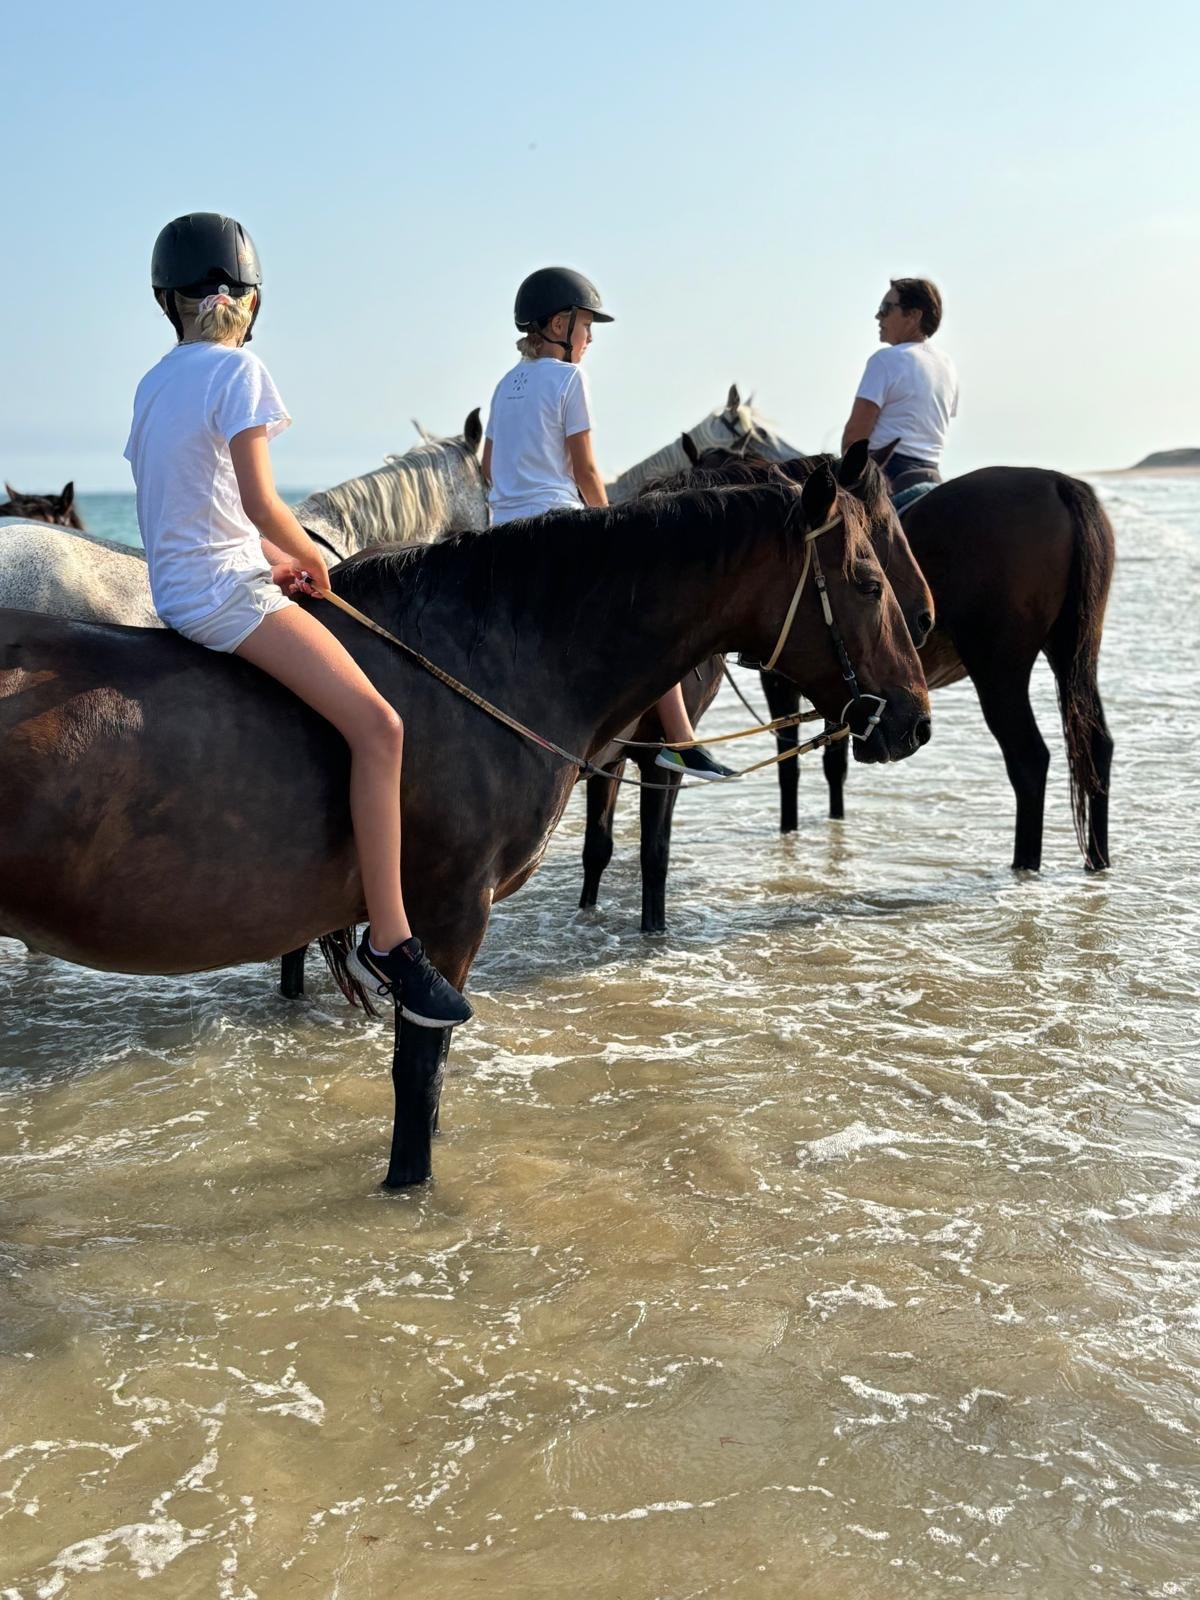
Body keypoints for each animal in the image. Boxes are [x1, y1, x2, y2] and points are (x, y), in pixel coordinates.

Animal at [0, 464, 928, 1190]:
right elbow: (420, 1076)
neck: (489, 657)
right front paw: (408, 1186)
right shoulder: (448, 914)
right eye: (867, 580)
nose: (913, 719)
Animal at [761, 467, 1120, 864]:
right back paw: (1097, 859)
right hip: (1073, 653)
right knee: (1096, 745)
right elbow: (834, 761)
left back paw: (1024, 864)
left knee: (1028, 759)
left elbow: (789, 764)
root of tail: (1058, 483)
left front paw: (789, 829)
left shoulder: (785, 681)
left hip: (999, 673)